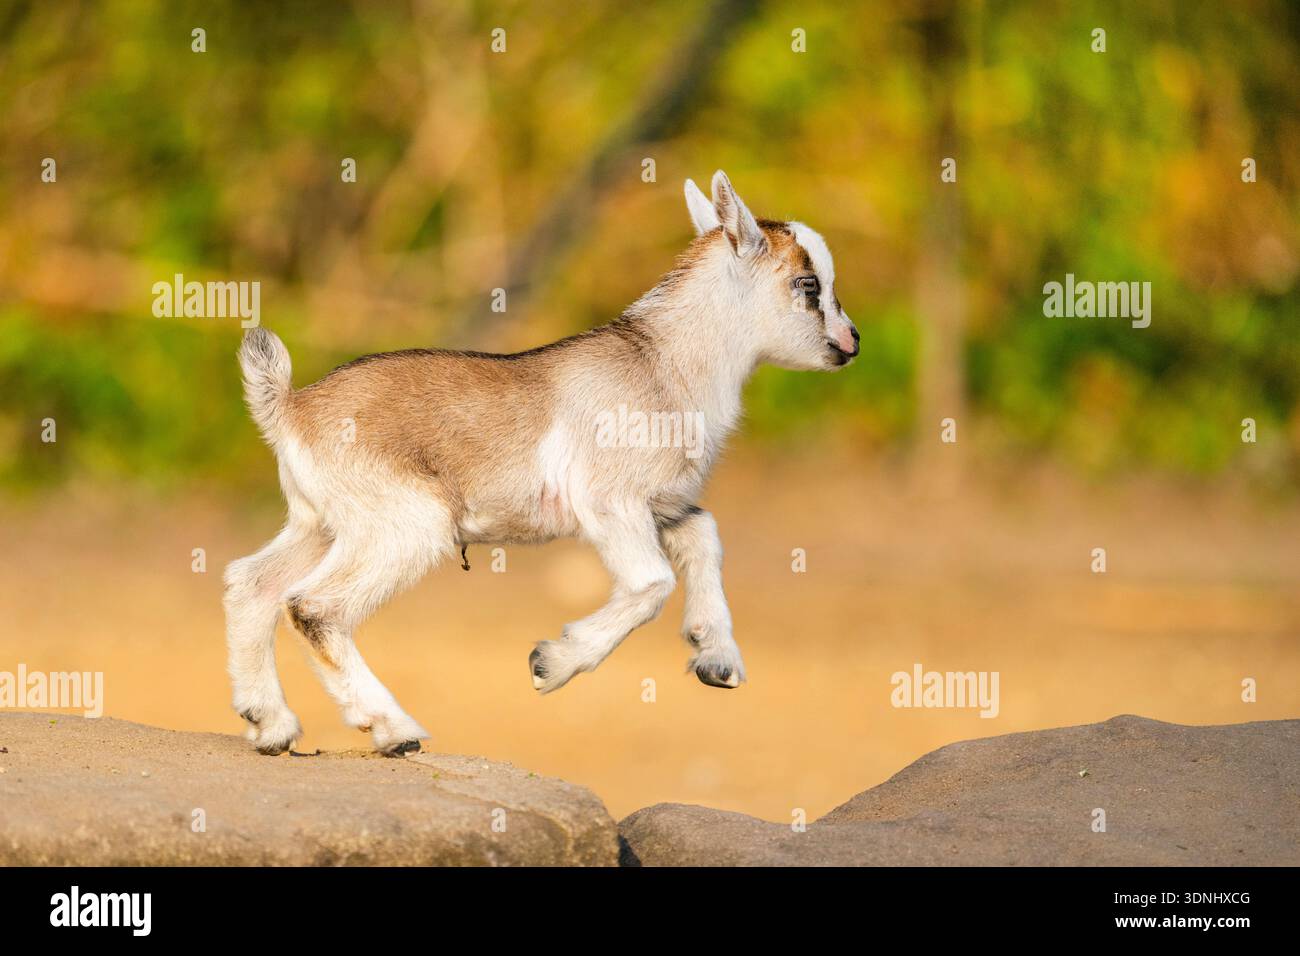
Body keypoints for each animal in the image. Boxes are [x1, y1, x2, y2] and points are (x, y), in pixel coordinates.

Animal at [224, 171, 859, 755]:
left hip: (321, 523)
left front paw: (716, 658)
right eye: (808, 283)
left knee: (251, 584)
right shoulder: (609, 500)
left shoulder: (663, 504)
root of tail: (291, 409)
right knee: (312, 606)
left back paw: (271, 725)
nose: (852, 342)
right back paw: (393, 729)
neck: (662, 363)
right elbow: (651, 582)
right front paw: (551, 663)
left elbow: (705, 534)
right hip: (405, 523)